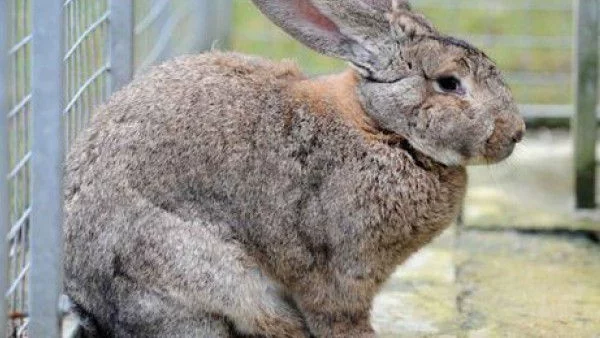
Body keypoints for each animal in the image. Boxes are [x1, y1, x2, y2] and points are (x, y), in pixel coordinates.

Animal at [64, 0, 524, 336]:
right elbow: (338, 317)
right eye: (449, 83)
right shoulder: (339, 275)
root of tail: (85, 302)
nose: (517, 133)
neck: (384, 128)